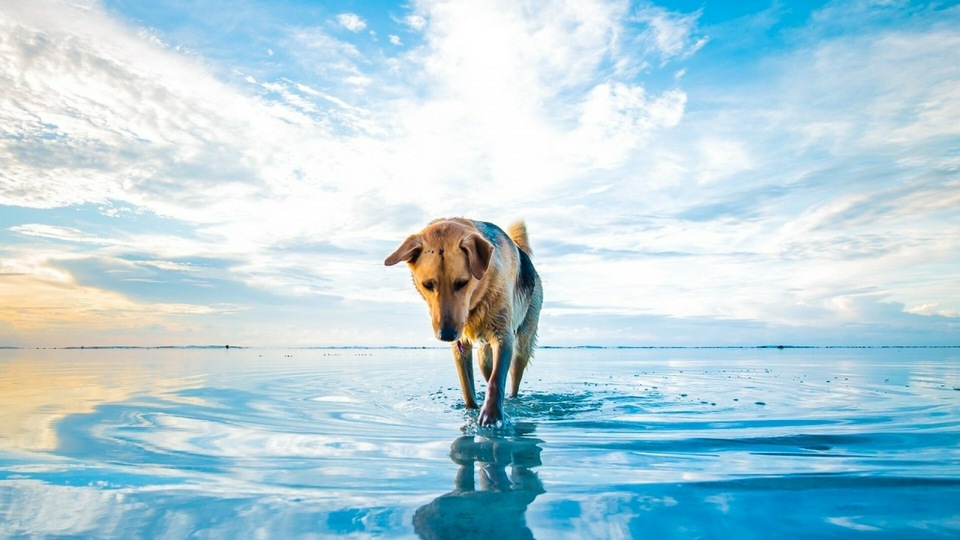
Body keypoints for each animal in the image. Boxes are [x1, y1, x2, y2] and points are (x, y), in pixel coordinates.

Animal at [386, 218, 544, 426]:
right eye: (428, 285)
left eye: (462, 283)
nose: (445, 335)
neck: (477, 301)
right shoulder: (460, 347)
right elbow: (468, 387)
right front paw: (471, 410)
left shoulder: (503, 337)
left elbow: (497, 380)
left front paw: (491, 415)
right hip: (484, 356)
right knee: (488, 371)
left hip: (522, 346)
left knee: (513, 379)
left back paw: (512, 400)